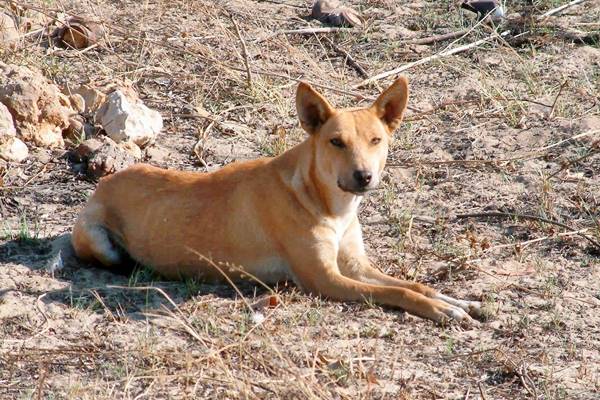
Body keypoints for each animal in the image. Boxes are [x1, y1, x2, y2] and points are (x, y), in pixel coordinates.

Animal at [71, 76, 482, 324]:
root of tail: (105, 181)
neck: (329, 204)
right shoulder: (326, 279)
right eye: (336, 142)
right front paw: (440, 309)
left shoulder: (355, 265)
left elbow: (413, 285)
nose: (364, 176)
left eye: (376, 140)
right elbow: (399, 292)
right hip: (99, 242)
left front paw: (454, 300)